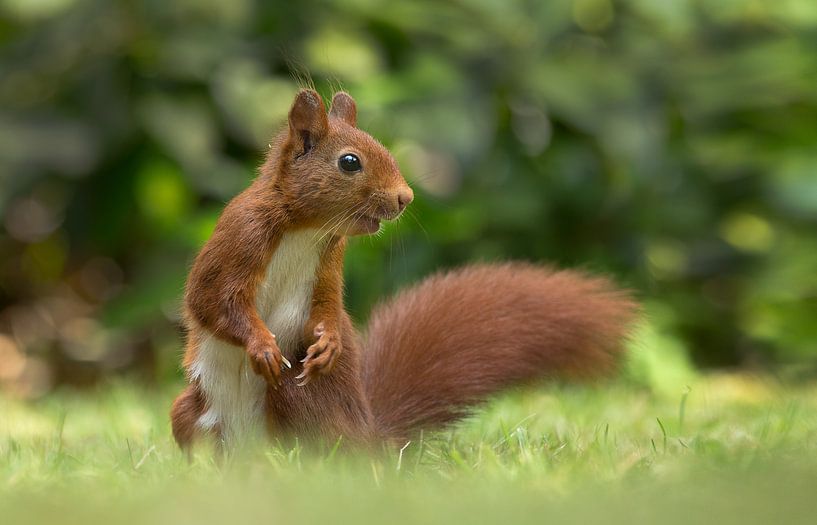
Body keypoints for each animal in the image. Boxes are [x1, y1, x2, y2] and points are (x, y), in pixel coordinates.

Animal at [170, 89, 638, 450]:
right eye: (350, 162)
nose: (405, 197)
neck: (306, 229)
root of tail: (371, 437)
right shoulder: (241, 237)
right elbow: (212, 300)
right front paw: (263, 346)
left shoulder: (329, 261)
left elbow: (327, 304)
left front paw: (329, 342)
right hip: (189, 411)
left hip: (296, 398)